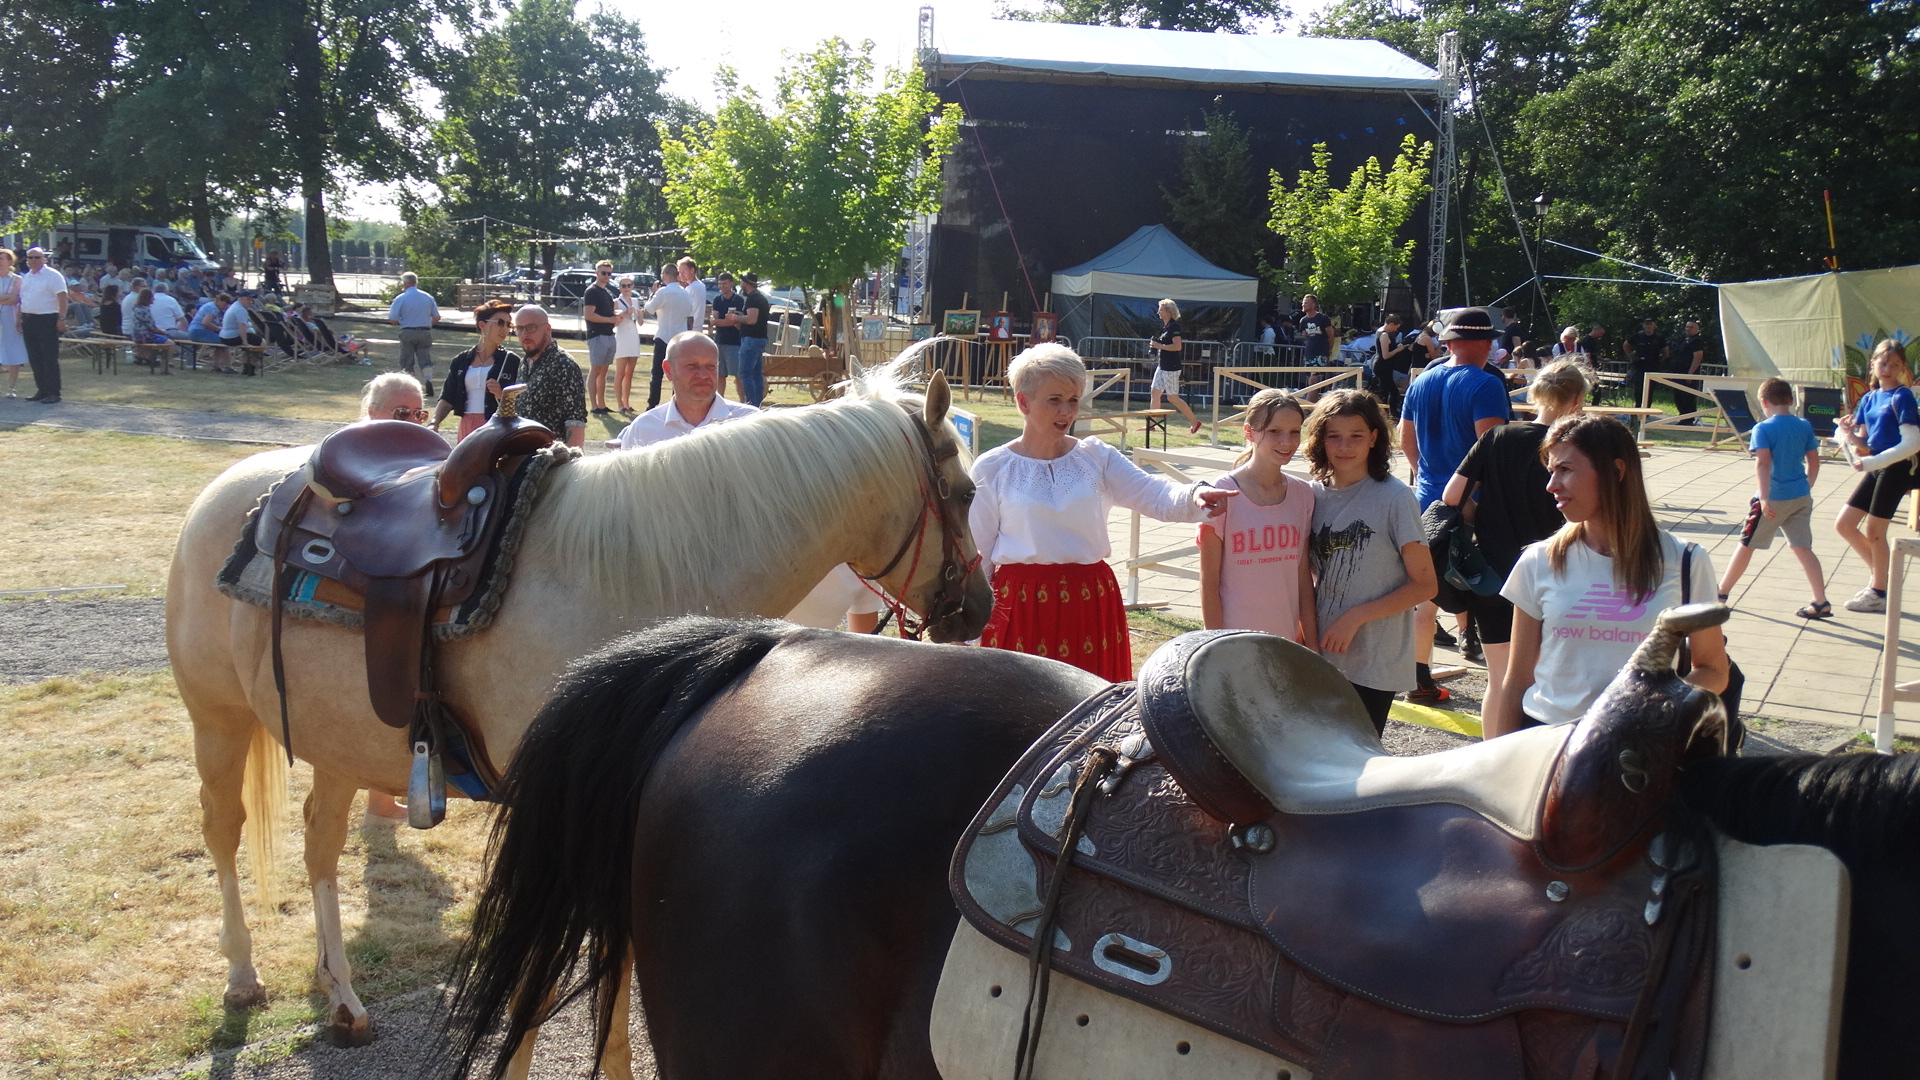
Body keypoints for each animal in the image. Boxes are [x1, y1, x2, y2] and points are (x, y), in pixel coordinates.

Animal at [163, 358, 990, 1051]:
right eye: (967, 492)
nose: (978, 607)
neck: (633, 574)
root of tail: (237, 485)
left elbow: (613, 972)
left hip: (337, 736)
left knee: (319, 843)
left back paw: (342, 996)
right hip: (217, 720)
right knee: (225, 830)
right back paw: (241, 977)